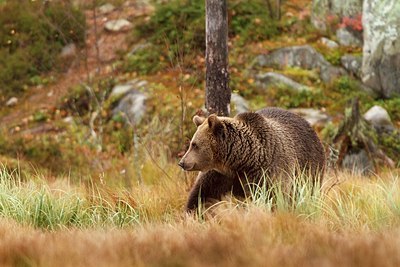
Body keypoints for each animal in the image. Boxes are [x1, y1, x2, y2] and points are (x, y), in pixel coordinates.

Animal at [178, 107, 324, 211]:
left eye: (194, 145)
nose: (182, 162)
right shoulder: (220, 175)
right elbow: (203, 195)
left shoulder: (269, 172)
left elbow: (274, 198)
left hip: (309, 168)